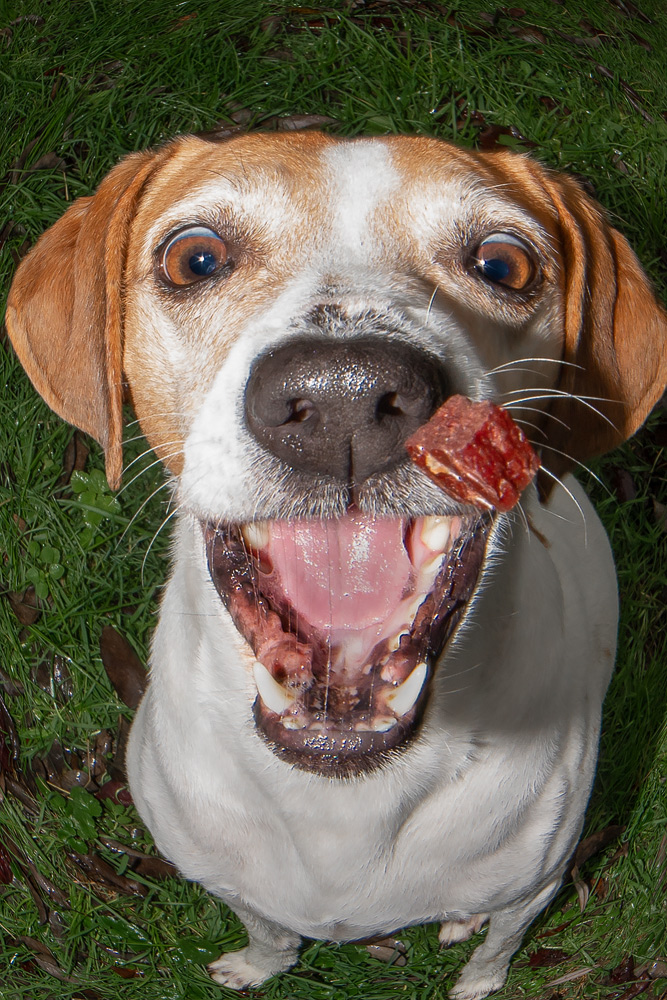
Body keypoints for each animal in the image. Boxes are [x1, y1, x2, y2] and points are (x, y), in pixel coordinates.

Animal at [5, 135, 667, 1000]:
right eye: (193, 257)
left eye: (502, 264)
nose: (344, 397)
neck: (341, 791)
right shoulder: (229, 878)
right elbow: (266, 929)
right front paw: (257, 965)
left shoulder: (534, 888)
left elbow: (495, 952)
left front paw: (475, 980)